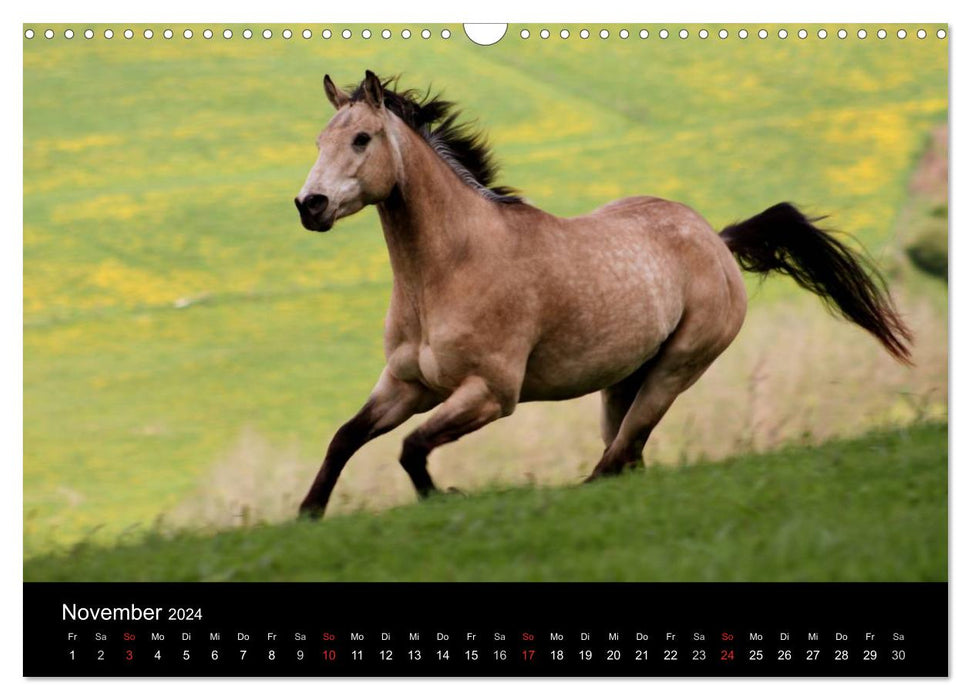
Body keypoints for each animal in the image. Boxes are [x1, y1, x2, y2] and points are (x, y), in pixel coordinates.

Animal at [292, 71, 916, 520]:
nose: (310, 206)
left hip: (673, 372)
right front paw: (308, 513)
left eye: (362, 139)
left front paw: (442, 499)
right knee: (628, 457)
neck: (450, 269)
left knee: (616, 460)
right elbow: (346, 437)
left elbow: (412, 448)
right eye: (319, 140)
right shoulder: (406, 385)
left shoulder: (490, 393)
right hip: (621, 382)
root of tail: (717, 240)